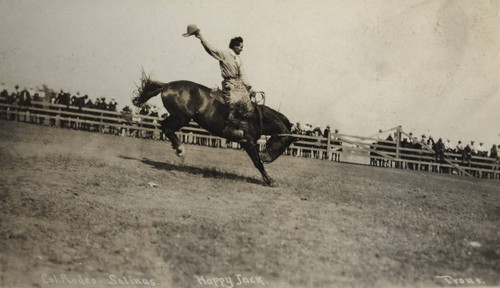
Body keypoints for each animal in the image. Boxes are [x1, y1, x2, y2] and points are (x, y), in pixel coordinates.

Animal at [134, 73, 296, 187]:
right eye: (284, 144)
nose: (266, 158)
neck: (255, 117)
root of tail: (168, 85)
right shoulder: (248, 142)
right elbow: (257, 163)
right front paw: (270, 180)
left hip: (178, 117)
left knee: (164, 127)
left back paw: (177, 148)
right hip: (181, 118)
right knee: (167, 128)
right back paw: (180, 149)